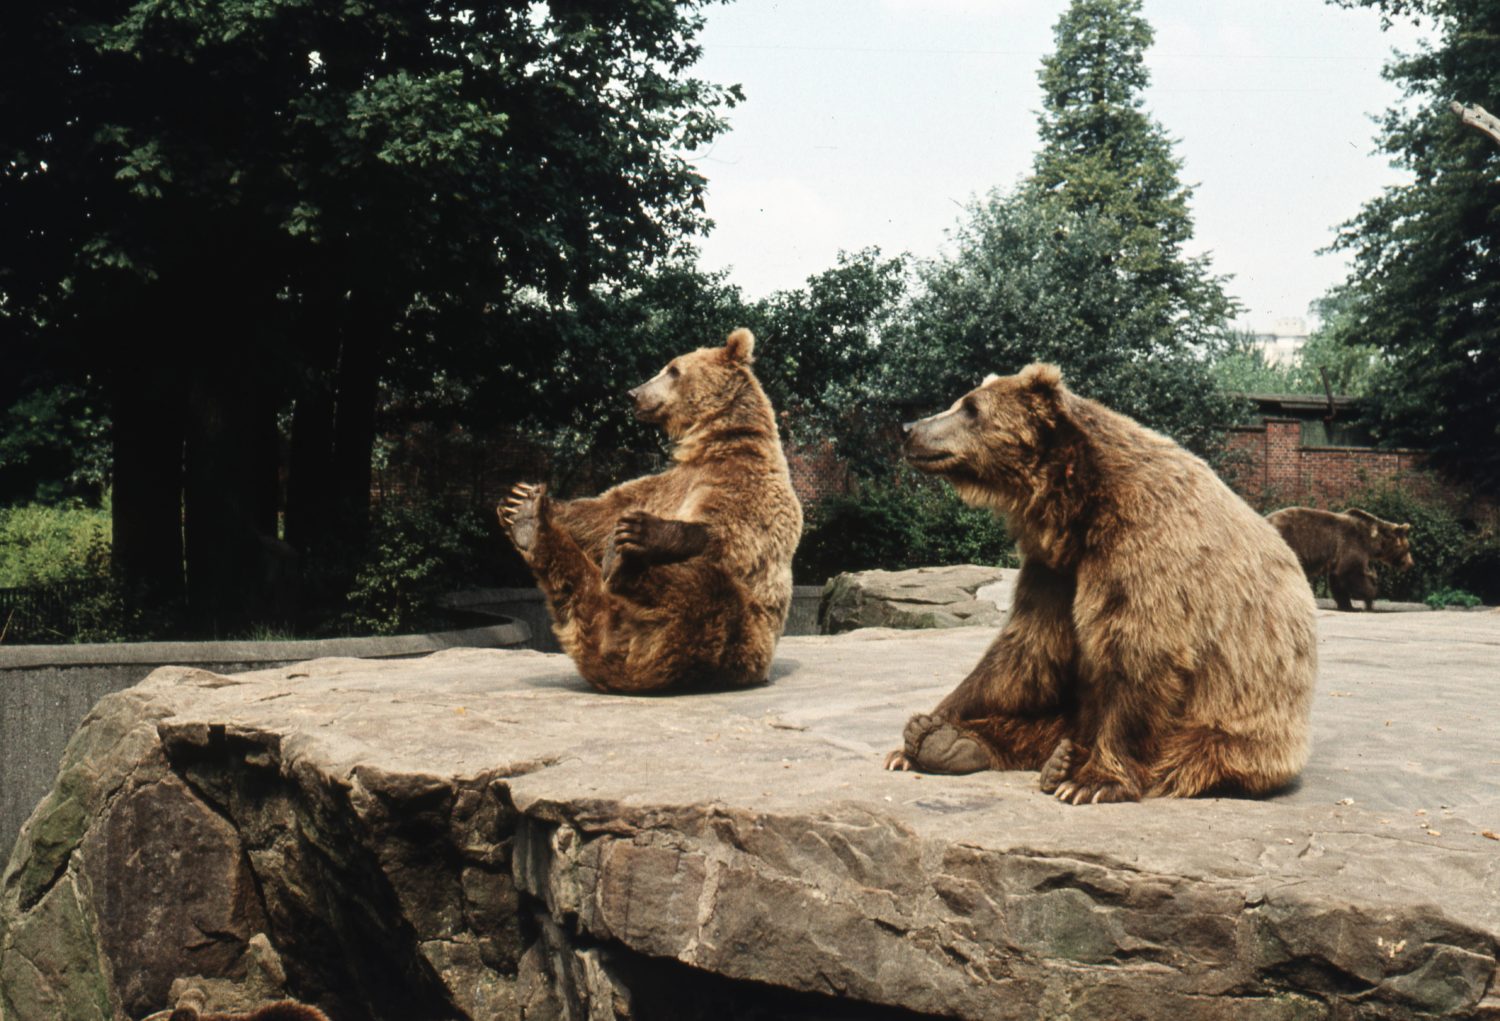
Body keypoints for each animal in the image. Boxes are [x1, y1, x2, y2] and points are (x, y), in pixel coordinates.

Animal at [498, 326, 804, 692]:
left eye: (673, 370)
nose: (633, 394)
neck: (713, 444)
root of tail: (624, 667)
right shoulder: (668, 483)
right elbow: (603, 511)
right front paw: (521, 498)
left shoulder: (746, 482)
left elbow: (732, 535)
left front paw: (643, 531)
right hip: (597, 614)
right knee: (574, 584)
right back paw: (528, 520)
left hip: (742, 640)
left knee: (708, 591)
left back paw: (624, 561)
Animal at [882, 365, 1320, 803]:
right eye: (962, 401)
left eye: (972, 409)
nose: (908, 429)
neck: (1080, 509)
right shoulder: (1055, 570)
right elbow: (1026, 650)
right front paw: (919, 732)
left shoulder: (1145, 552)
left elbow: (1136, 655)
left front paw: (1093, 781)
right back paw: (952, 743)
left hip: (1247, 722)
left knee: (1193, 752)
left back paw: (1064, 764)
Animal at [1260, 506, 1410, 608]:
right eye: (1407, 548)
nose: (1410, 563)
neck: (1370, 540)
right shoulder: (1351, 544)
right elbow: (1351, 573)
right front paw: (1370, 596)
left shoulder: (1338, 557)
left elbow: (1337, 580)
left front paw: (1347, 605)